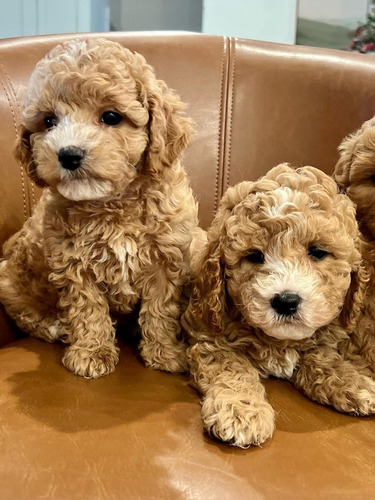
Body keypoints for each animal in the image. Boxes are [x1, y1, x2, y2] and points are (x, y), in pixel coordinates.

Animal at [0, 37, 200, 376]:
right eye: (49, 121)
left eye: (111, 117)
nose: (68, 154)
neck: (112, 204)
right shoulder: (72, 263)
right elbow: (87, 309)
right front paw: (92, 353)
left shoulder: (166, 259)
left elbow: (160, 308)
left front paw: (165, 353)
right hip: (9, 281)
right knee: (27, 313)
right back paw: (54, 327)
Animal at [183, 164, 375, 450]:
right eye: (254, 256)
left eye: (318, 252)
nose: (286, 301)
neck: (279, 341)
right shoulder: (211, 341)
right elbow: (233, 370)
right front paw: (242, 412)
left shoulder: (320, 343)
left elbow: (324, 359)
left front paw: (354, 382)